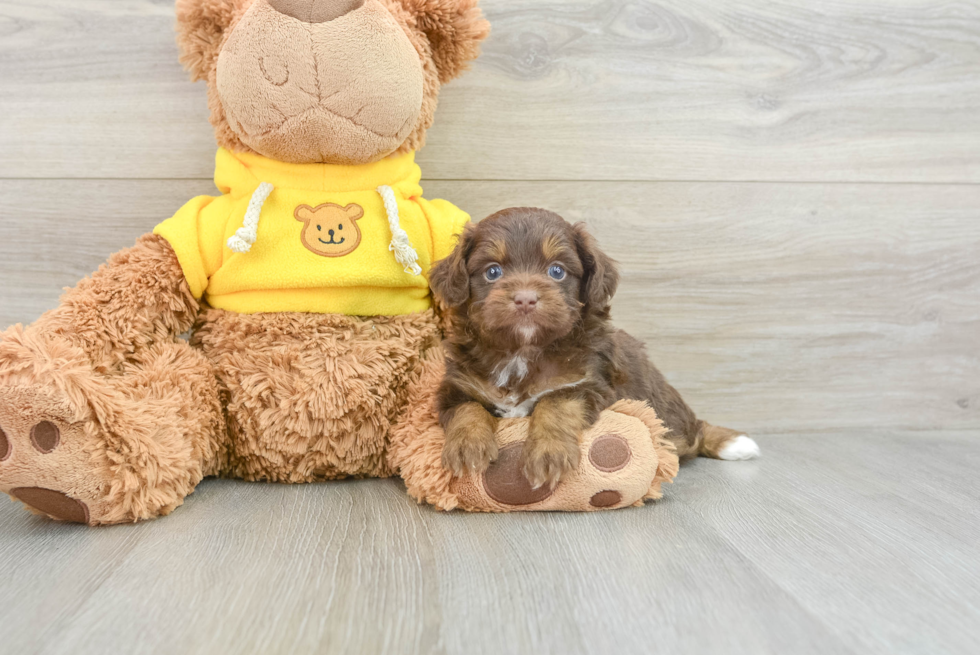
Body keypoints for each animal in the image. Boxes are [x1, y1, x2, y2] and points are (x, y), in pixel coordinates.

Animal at [428, 208, 756, 490]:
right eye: (492, 272)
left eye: (557, 271)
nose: (525, 299)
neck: (523, 350)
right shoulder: (456, 386)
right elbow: (467, 409)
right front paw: (468, 447)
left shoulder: (587, 383)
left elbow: (555, 403)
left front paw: (548, 454)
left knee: (693, 433)